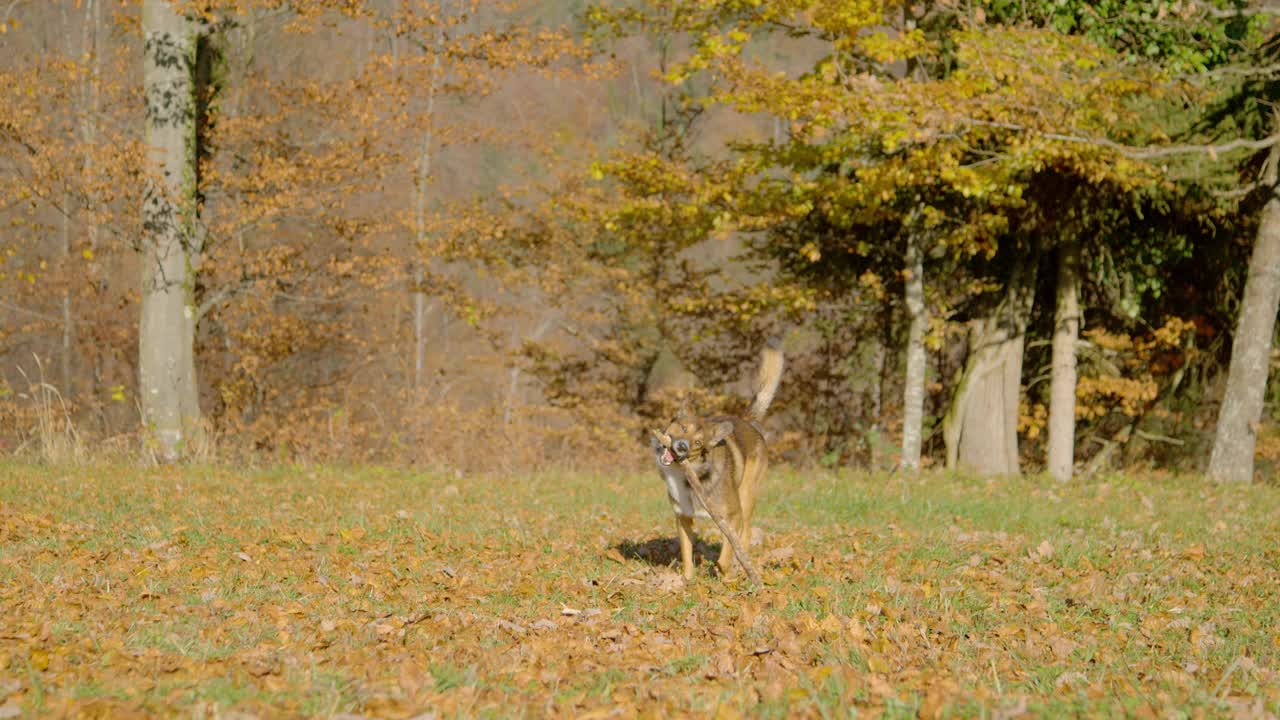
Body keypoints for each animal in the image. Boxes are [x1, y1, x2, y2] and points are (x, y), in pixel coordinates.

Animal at [650, 338, 778, 579]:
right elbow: (686, 553)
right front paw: (687, 580)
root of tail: (747, 422)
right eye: (683, 428)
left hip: (747, 495)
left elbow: (725, 555)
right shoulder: (682, 517)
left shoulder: (732, 516)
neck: (688, 476)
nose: (682, 447)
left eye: (698, 443)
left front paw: (726, 574)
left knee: (746, 534)